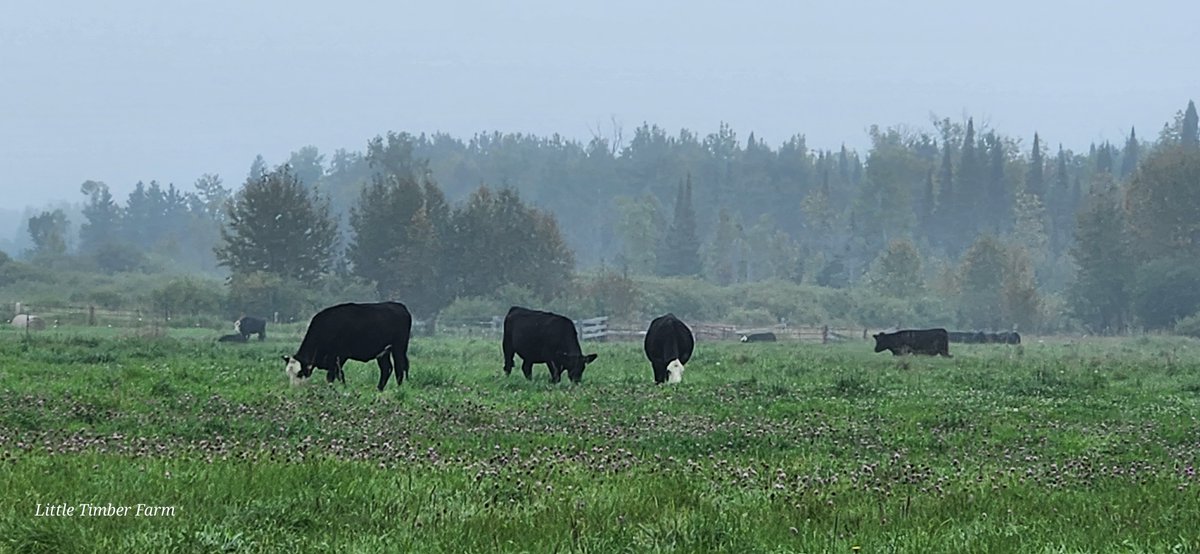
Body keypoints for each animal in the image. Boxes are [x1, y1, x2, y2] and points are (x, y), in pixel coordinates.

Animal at [283, 303, 415, 388]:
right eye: (288, 374)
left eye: (299, 373)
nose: (293, 389)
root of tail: (400, 307)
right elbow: (339, 375)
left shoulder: (338, 356)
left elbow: (334, 376)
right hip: (383, 352)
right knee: (386, 369)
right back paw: (379, 389)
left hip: (399, 348)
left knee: (399, 368)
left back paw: (398, 389)